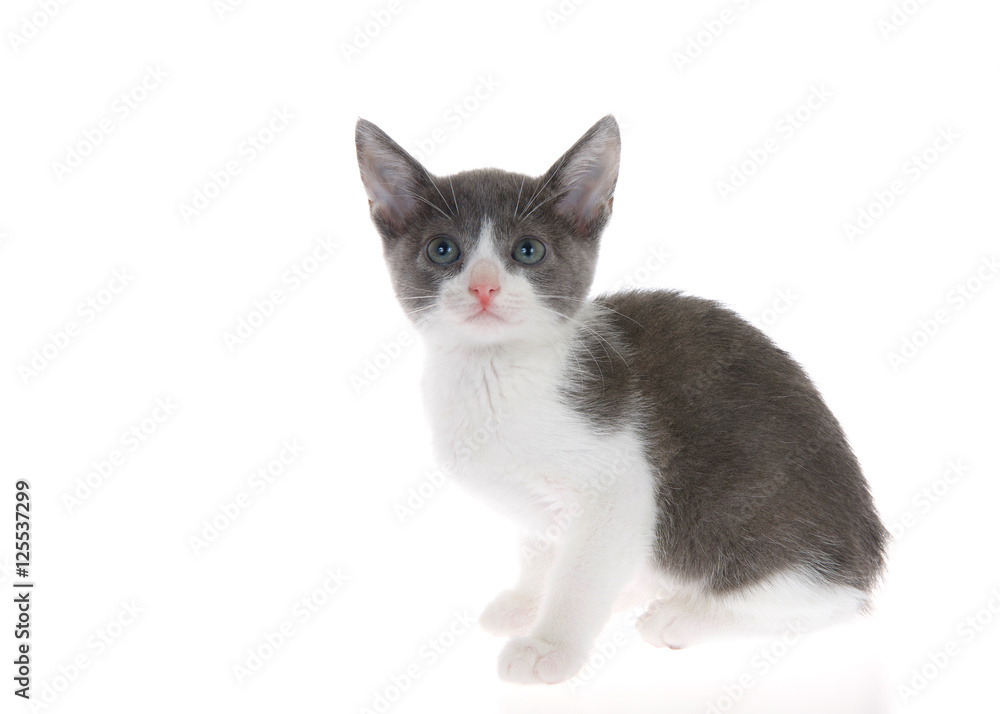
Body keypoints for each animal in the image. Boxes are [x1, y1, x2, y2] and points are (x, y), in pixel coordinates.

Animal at [356, 114, 888, 680]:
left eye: (527, 250)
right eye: (443, 250)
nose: (484, 288)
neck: (493, 372)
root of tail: (866, 552)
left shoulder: (621, 482)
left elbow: (581, 573)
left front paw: (549, 645)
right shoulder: (542, 506)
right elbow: (543, 547)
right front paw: (529, 599)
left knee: (825, 603)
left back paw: (683, 616)